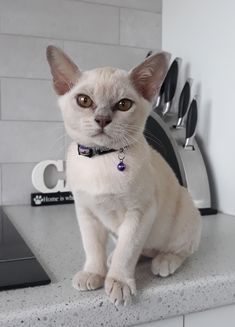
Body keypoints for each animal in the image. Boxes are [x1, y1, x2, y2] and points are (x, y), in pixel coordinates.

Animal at [46, 44, 201, 306]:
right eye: (84, 100)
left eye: (124, 105)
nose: (102, 119)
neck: (101, 159)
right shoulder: (87, 213)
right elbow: (93, 248)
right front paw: (94, 273)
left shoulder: (139, 213)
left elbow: (127, 252)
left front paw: (118, 282)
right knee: (139, 250)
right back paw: (112, 260)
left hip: (185, 212)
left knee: (179, 250)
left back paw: (164, 262)